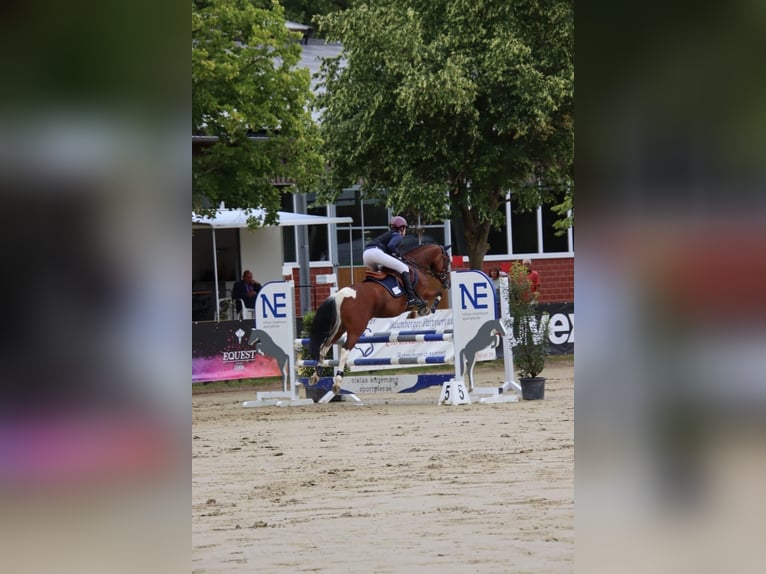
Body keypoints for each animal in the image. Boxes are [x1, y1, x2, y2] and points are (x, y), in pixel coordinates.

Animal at [309, 243, 451, 395]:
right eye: (447, 260)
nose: (447, 283)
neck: (417, 265)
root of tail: (341, 295)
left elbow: (427, 301)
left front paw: (417, 313)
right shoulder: (423, 293)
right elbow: (437, 294)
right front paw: (426, 309)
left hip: (340, 328)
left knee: (324, 347)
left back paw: (315, 376)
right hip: (356, 329)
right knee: (345, 350)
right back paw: (337, 382)